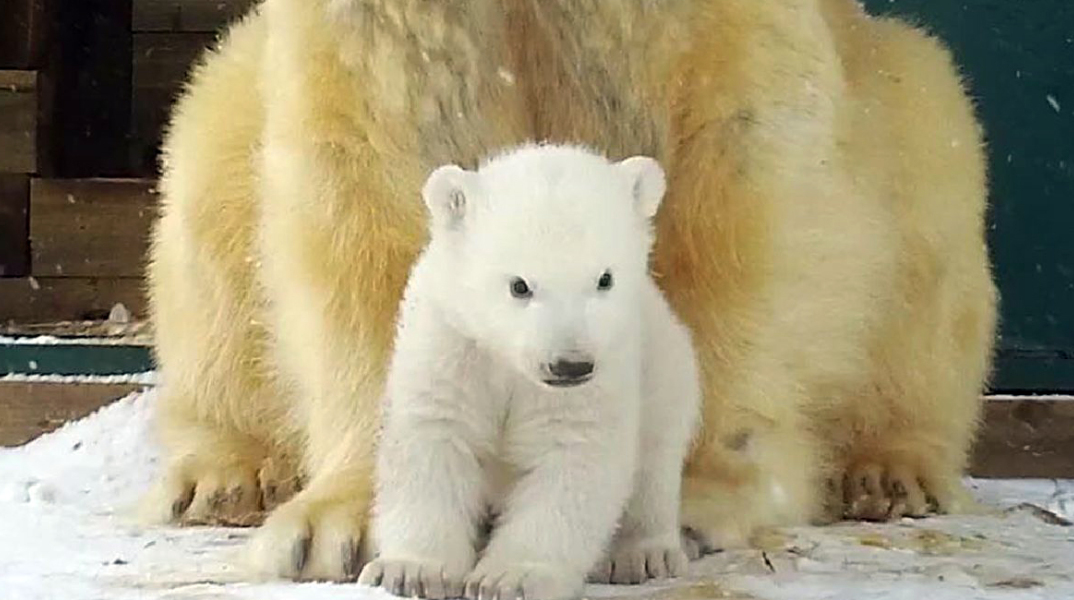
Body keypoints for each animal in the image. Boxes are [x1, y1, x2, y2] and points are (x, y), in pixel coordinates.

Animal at [356, 144, 701, 600]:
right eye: (519, 285)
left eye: (604, 278)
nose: (571, 365)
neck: (509, 361)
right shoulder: (450, 345)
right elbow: (431, 441)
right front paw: (409, 570)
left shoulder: (604, 370)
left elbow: (572, 457)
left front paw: (511, 577)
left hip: (666, 368)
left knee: (653, 464)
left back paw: (644, 554)